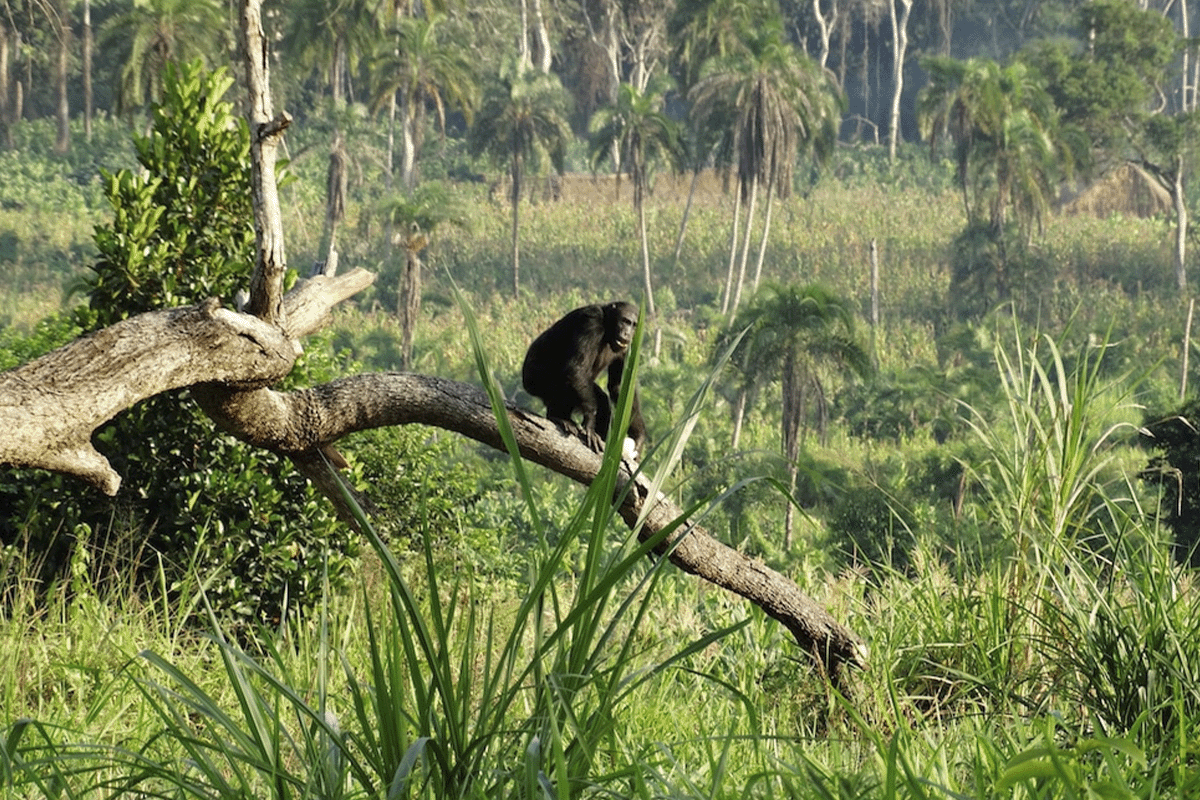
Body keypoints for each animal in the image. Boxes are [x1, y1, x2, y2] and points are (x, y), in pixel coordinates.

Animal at [518, 299, 648, 455]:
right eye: (625, 321)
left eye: (634, 325)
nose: (627, 332)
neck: (608, 327)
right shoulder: (591, 322)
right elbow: (577, 369)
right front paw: (590, 424)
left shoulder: (627, 348)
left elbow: (619, 386)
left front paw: (639, 436)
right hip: (536, 379)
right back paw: (558, 417)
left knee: (602, 401)